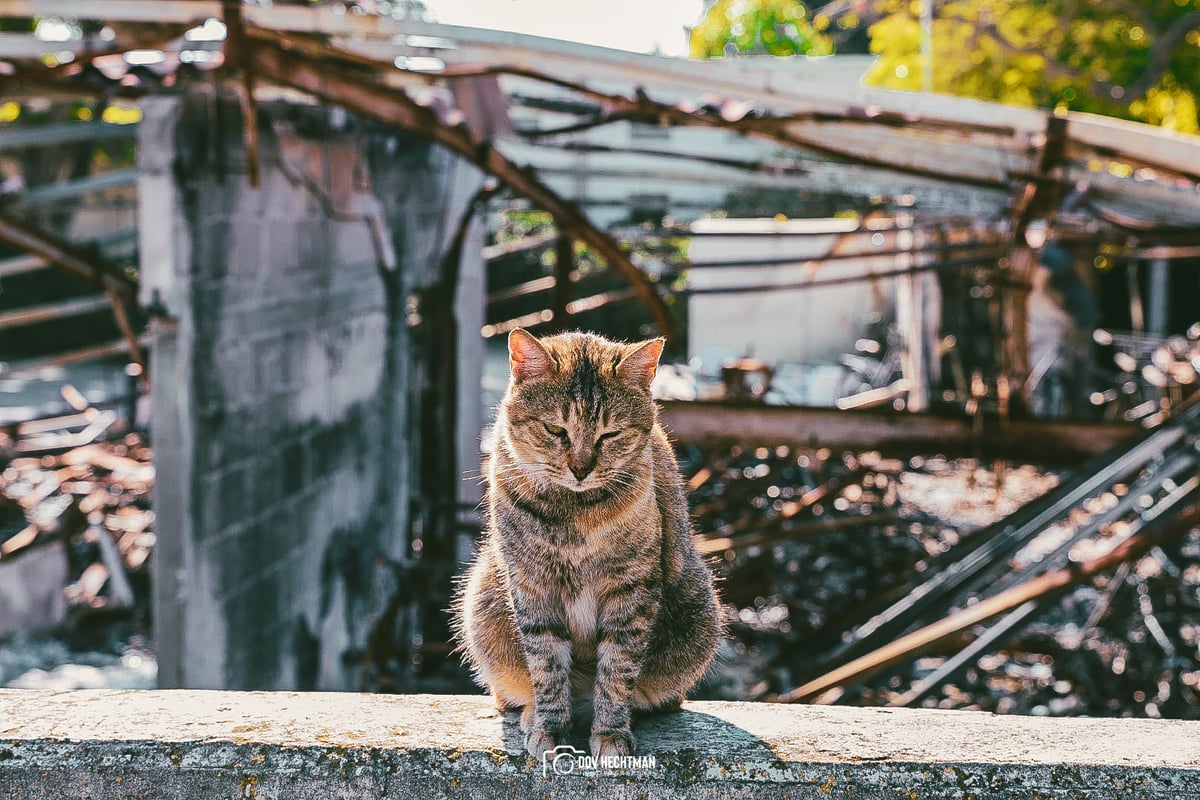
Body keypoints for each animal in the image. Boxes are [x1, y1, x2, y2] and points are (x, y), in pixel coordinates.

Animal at [453, 328, 720, 762]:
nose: (580, 469)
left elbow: (616, 669)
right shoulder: (531, 585)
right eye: (555, 430)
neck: (574, 512)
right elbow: (546, 665)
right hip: (483, 605)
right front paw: (549, 728)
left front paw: (610, 732)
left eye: (610, 434)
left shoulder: (631, 588)